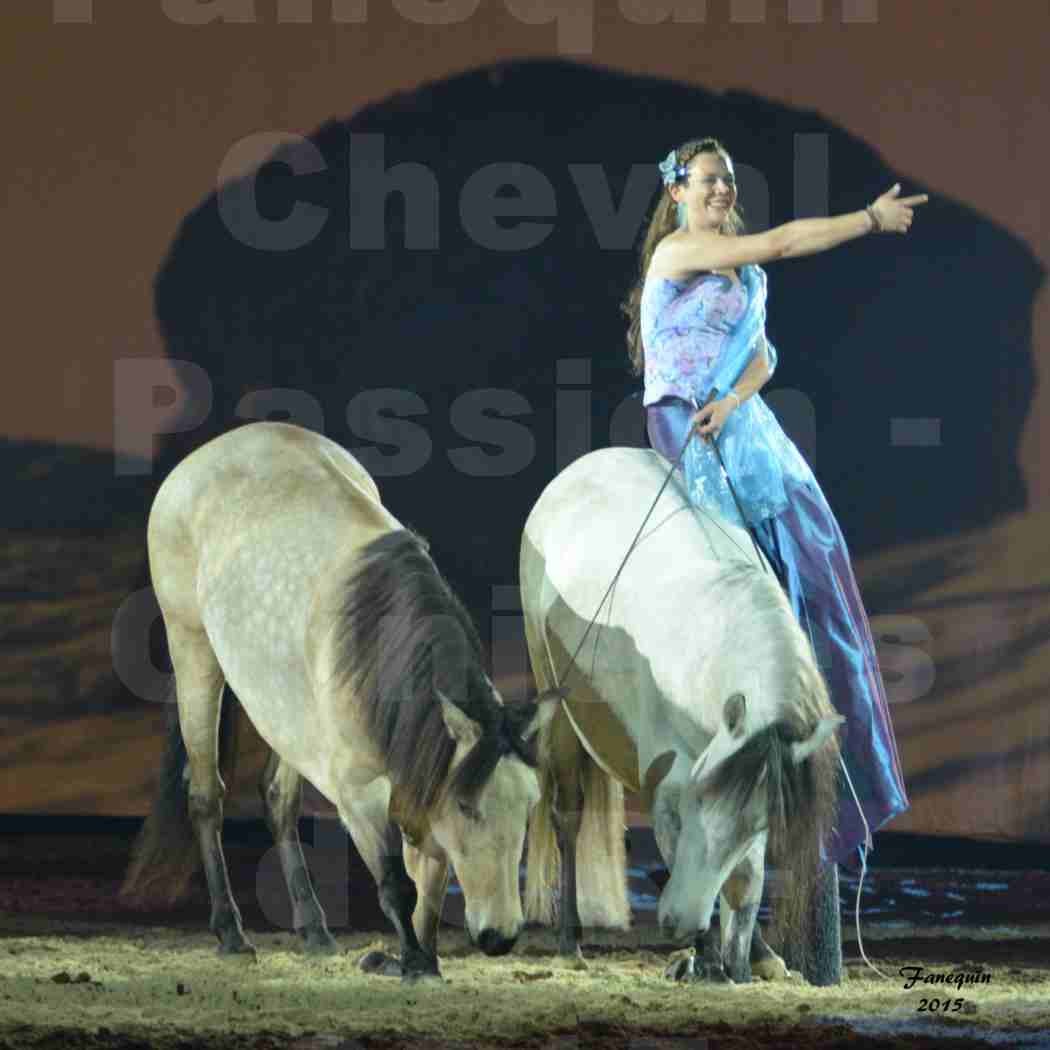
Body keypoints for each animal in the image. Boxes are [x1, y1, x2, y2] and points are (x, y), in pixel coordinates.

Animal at [121, 422, 558, 978]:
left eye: (530, 804)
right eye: (467, 806)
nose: (499, 937)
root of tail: (195, 461)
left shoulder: (421, 776)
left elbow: (431, 886)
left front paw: (422, 959)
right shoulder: (360, 794)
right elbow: (396, 883)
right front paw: (411, 963)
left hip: (284, 714)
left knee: (278, 799)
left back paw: (313, 927)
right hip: (192, 648)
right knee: (204, 795)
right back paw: (231, 932)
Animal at [520, 449, 839, 982]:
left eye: (756, 820)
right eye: (697, 798)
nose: (677, 921)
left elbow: (745, 879)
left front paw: (747, 961)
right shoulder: (668, 787)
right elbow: (678, 854)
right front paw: (706, 960)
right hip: (556, 702)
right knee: (568, 816)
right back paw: (570, 942)